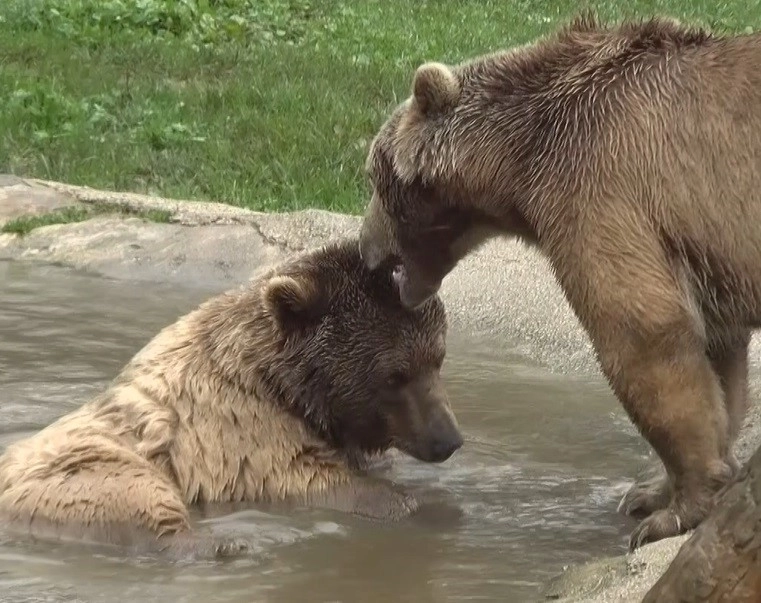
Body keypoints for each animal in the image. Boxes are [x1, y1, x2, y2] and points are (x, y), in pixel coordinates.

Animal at [0, 238, 464, 560]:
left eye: (437, 358)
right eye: (395, 375)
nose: (448, 440)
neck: (284, 386)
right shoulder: (238, 427)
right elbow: (303, 475)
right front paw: (408, 502)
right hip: (79, 469)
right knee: (132, 494)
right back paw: (225, 544)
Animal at [358, 14, 761, 552]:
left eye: (373, 175)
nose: (366, 252)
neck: (519, 159)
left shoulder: (600, 185)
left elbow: (644, 333)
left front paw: (671, 512)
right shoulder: (700, 253)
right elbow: (719, 357)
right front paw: (650, 490)